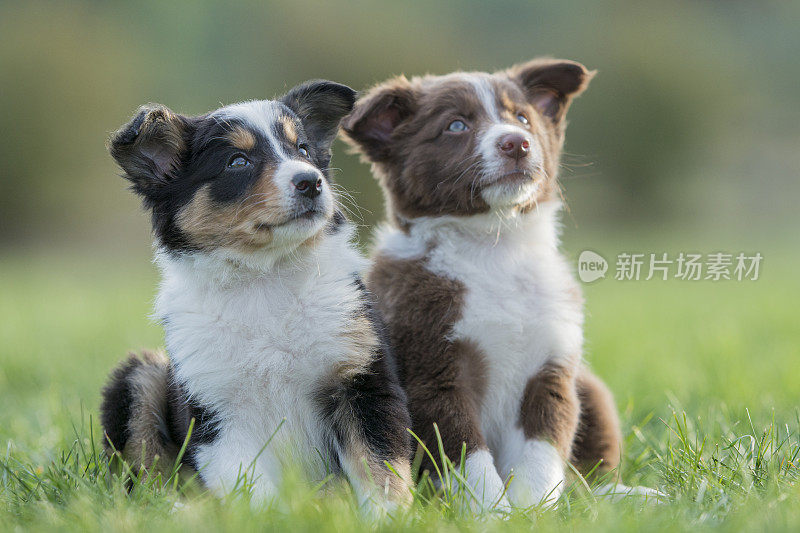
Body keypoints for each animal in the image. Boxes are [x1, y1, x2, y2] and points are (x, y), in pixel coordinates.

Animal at [100, 80, 412, 512]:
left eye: (303, 150)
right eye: (237, 162)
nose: (311, 182)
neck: (264, 277)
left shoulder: (362, 380)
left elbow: (381, 467)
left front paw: (390, 518)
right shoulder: (217, 413)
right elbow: (252, 493)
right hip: (140, 376)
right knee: (148, 475)